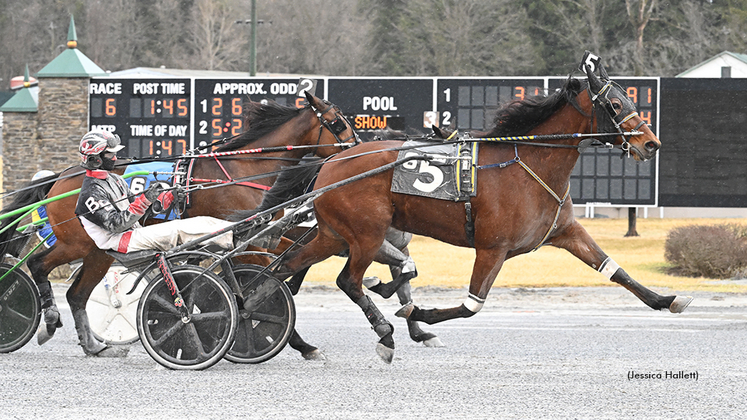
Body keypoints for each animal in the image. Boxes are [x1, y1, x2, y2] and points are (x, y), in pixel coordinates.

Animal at [266, 56, 692, 364]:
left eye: (633, 99)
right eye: (616, 103)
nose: (651, 143)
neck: (529, 163)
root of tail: (331, 162)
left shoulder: (566, 232)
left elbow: (614, 270)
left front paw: (666, 300)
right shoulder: (492, 248)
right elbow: (471, 305)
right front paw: (417, 314)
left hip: (333, 234)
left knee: (282, 272)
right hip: (365, 234)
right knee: (346, 281)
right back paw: (383, 334)